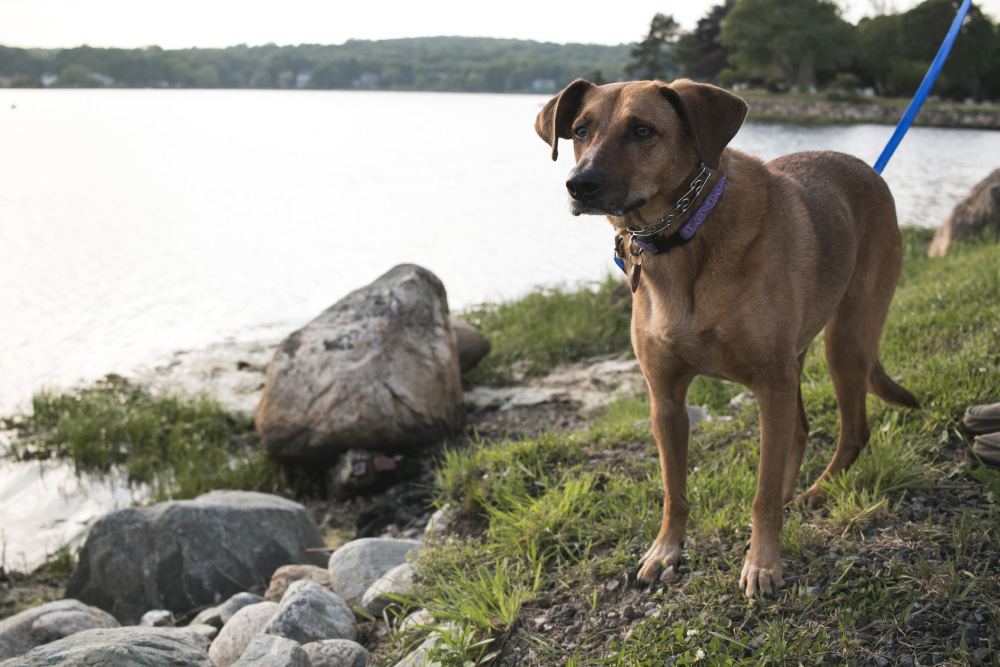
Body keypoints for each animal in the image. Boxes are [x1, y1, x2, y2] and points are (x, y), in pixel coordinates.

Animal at [536, 79, 916, 600]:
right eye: (579, 130)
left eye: (642, 130)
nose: (579, 185)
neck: (680, 237)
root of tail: (868, 171)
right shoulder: (666, 400)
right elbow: (674, 491)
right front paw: (666, 550)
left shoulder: (771, 384)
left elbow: (761, 496)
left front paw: (763, 562)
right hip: (800, 358)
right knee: (799, 431)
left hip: (846, 341)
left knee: (853, 432)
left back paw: (817, 492)